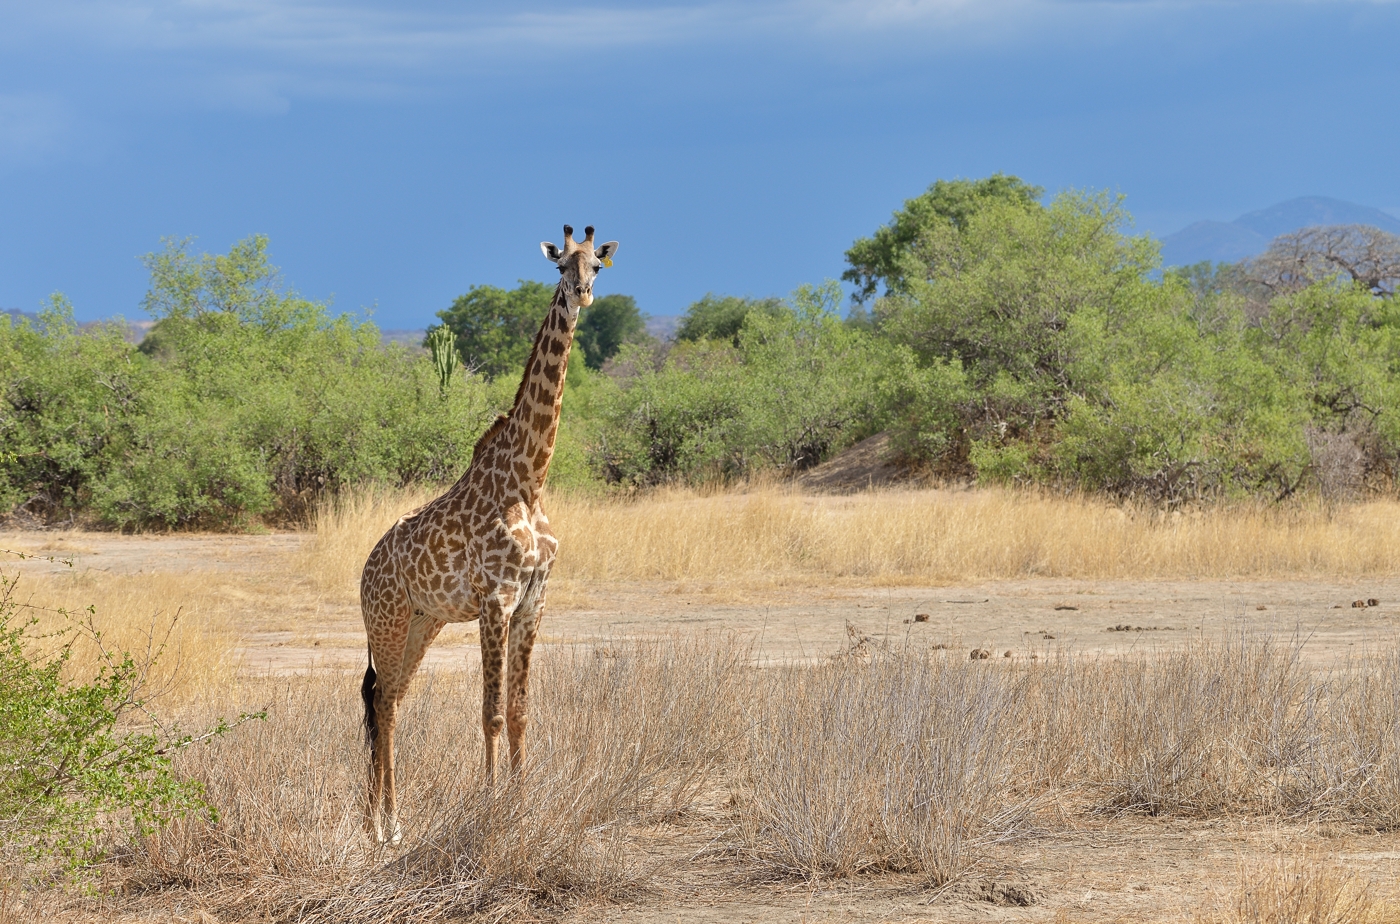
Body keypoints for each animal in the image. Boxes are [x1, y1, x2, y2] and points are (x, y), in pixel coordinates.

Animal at [358, 224, 619, 844]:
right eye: (560, 266)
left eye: (598, 265)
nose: (582, 294)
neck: (530, 479)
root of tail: (364, 571)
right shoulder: (495, 600)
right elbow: (492, 712)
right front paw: (492, 808)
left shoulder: (533, 600)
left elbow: (521, 711)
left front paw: (521, 807)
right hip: (388, 620)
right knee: (382, 701)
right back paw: (386, 827)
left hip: (422, 623)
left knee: (389, 697)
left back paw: (385, 820)